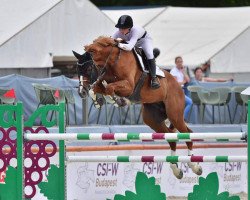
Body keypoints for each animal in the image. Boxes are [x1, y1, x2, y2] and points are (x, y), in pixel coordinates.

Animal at [85, 36, 202, 178]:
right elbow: (98, 88)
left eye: (90, 65)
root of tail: (178, 85)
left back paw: (194, 165)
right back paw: (176, 169)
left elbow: (109, 88)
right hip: (152, 119)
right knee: (171, 137)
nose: (88, 81)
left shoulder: (128, 86)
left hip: (174, 114)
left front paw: (117, 100)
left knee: (187, 133)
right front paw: (99, 100)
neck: (114, 60)